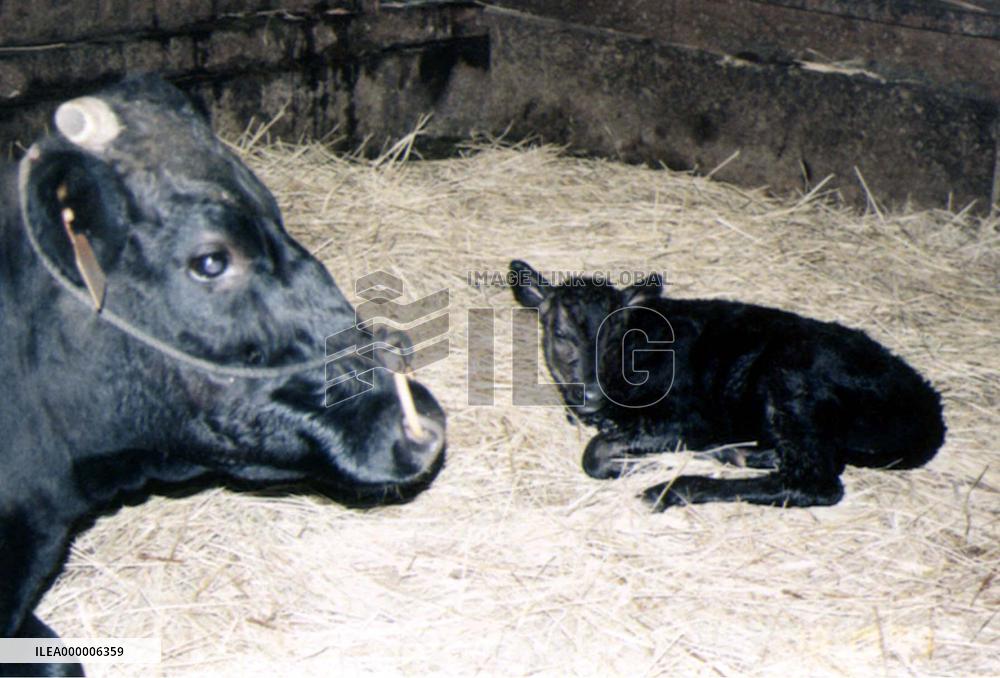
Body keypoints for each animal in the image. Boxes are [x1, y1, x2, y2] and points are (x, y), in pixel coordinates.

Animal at [509, 259, 944, 510]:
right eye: (560, 333)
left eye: (617, 334)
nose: (591, 393)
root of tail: (930, 411)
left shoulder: (692, 419)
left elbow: (595, 454)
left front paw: (641, 464)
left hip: (793, 379)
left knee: (816, 481)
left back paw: (673, 489)